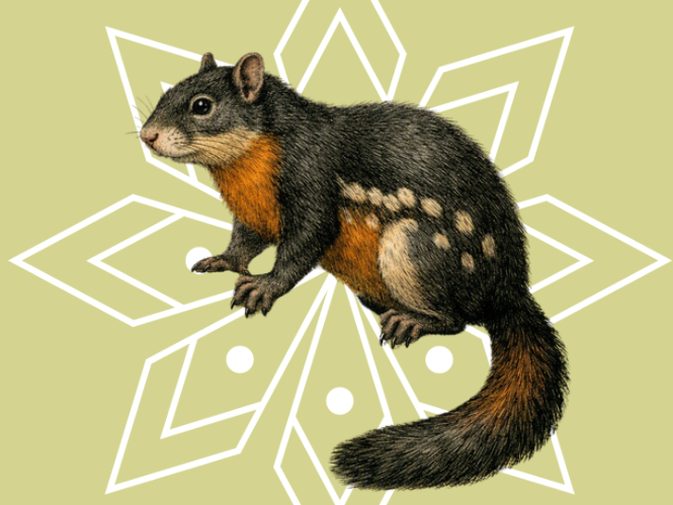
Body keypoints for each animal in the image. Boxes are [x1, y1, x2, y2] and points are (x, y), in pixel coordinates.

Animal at [139, 52, 568, 490]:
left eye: (202, 105)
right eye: (168, 93)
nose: (147, 135)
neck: (247, 168)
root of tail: (509, 292)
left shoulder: (311, 188)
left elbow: (300, 248)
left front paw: (263, 287)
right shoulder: (253, 216)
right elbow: (242, 244)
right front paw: (220, 261)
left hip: (412, 248)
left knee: (456, 320)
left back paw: (409, 321)